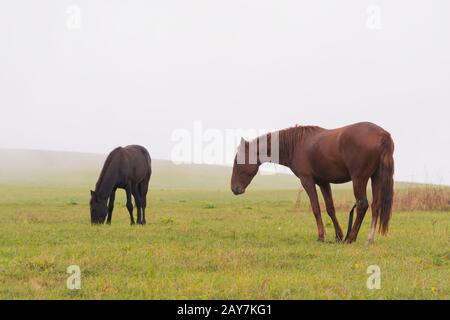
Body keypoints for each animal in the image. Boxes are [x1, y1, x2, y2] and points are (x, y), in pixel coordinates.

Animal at [232, 121, 394, 244]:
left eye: (237, 161)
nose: (234, 188)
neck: (296, 144)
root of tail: (382, 135)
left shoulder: (307, 181)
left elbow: (316, 208)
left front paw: (321, 236)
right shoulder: (323, 182)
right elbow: (330, 208)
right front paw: (338, 235)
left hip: (359, 179)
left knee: (362, 205)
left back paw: (351, 238)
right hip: (376, 177)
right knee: (376, 205)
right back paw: (369, 239)